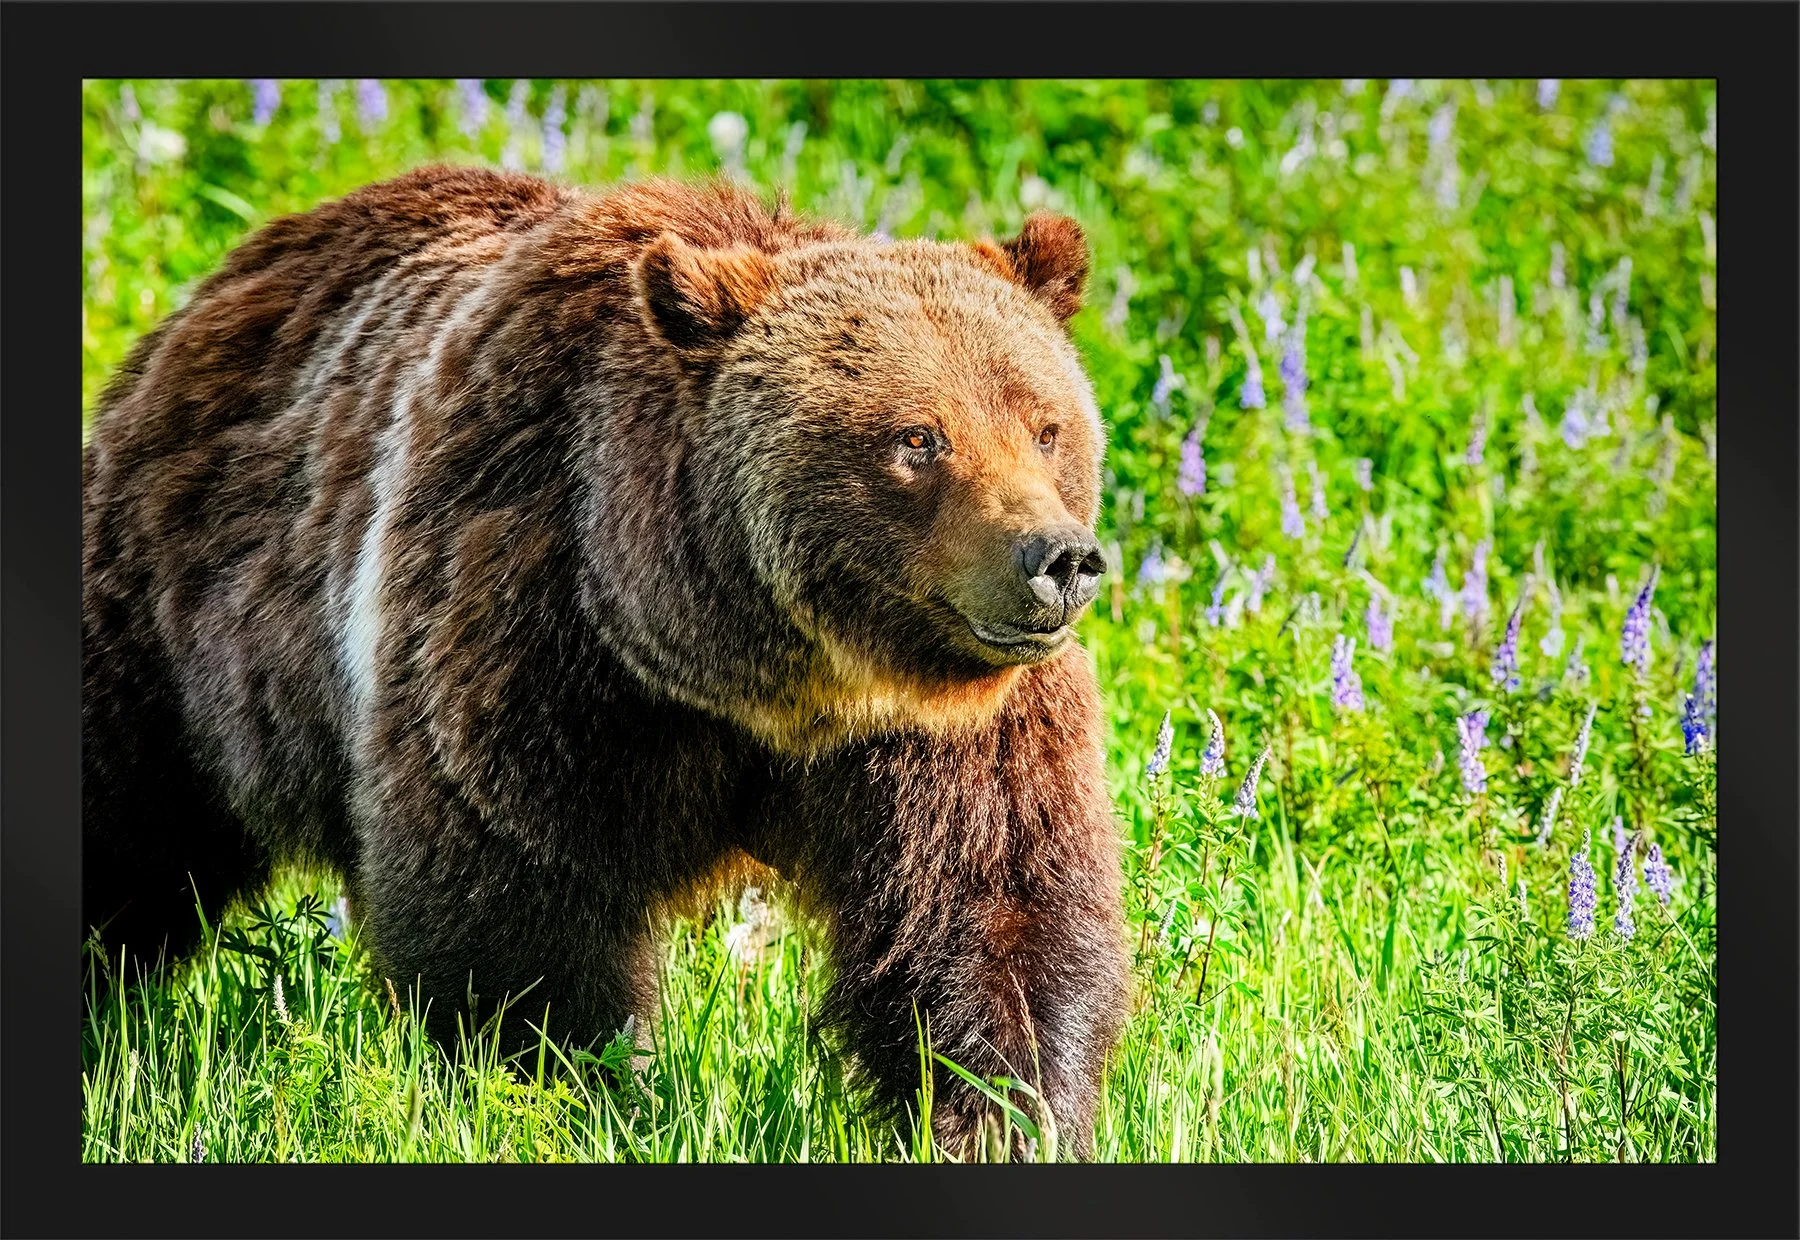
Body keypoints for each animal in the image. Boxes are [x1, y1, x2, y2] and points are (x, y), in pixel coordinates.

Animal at [82, 166, 1129, 1159]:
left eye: (1045, 425)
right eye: (918, 438)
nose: (1058, 558)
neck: (756, 672)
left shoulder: (948, 731)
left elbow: (993, 916)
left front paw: (1005, 1117)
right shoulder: (537, 642)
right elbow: (519, 911)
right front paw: (576, 1094)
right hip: (177, 620)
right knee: (126, 815)